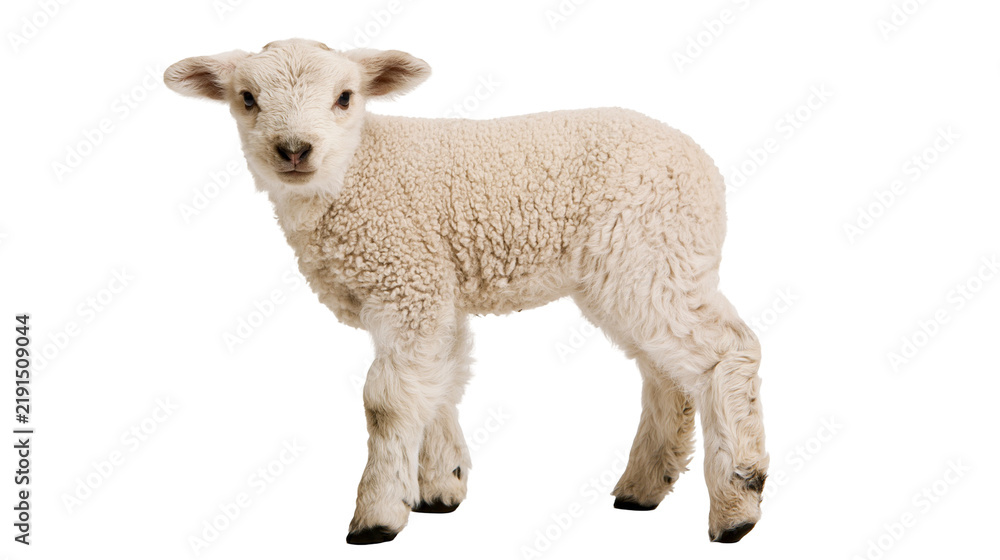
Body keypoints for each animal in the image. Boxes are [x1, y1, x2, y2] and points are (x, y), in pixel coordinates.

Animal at [164, 38, 768, 545]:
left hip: (653, 252)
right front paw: (439, 486)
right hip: (640, 267)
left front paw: (377, 516)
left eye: (344, 97)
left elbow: (386, 400)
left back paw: (738, 501)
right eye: (246, 99)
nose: (294, 149)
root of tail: (703, 165)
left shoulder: (409, 281)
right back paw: (644, 487)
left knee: (726, 351)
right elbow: (437, 383)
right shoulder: (434, 290)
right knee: (663, 371)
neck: (355, 173)